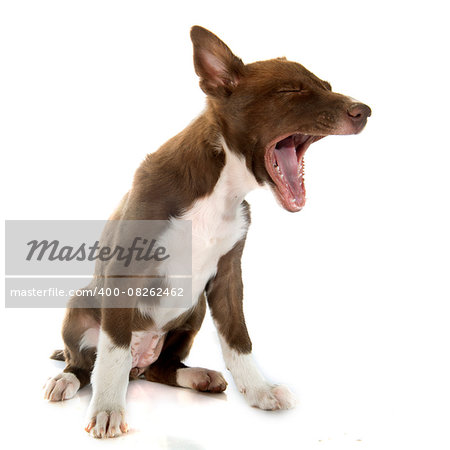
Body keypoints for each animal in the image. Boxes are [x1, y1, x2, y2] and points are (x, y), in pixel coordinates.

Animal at [44, 25, 370, 440]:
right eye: (291, 91)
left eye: (326, 86)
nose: (364, 111)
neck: (222, 187)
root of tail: (140, 359)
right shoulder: (124, 269)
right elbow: (112, 352)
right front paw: (107, 410)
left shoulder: (229, 276)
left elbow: (238, 338)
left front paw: (259, 391)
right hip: (80, 304)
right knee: (87, 362)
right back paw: (67, 379)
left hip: (193, 309)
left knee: (161, 368)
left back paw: (197, 376)